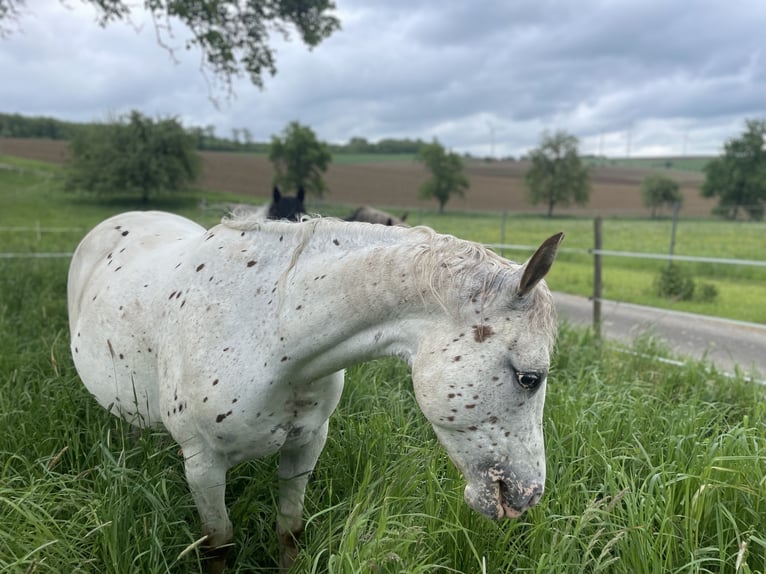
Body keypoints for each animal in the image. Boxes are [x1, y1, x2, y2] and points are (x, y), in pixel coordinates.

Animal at [67, 214, 564, 572]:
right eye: (529, 378)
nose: (528, 495)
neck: (269, 330)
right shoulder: (203, 464)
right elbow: (219, 542)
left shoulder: (305, 445)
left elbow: (289, 529)